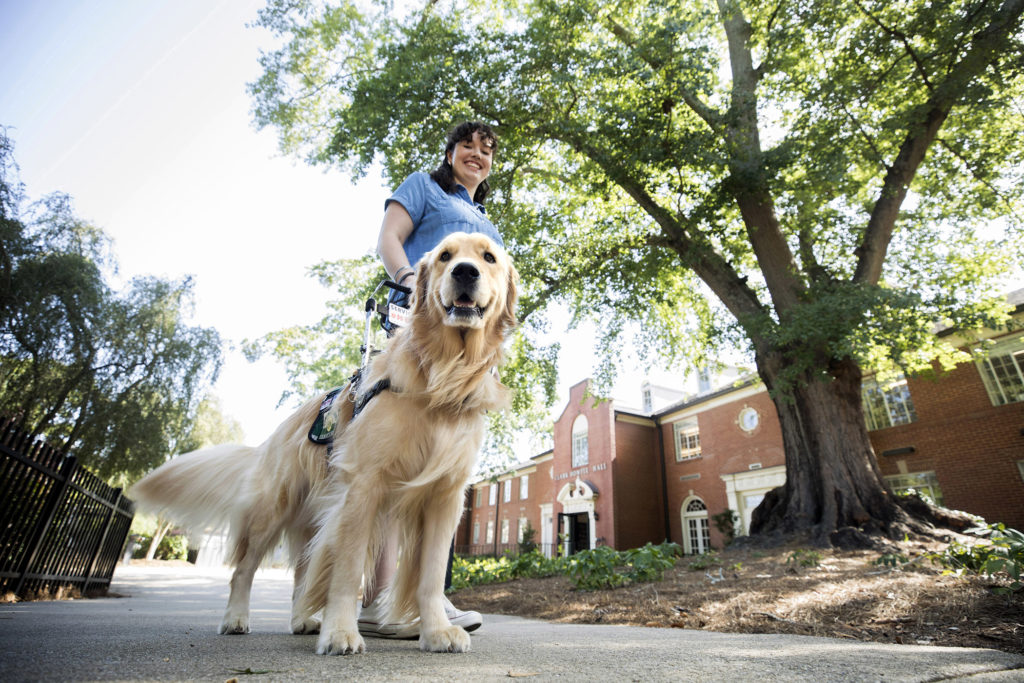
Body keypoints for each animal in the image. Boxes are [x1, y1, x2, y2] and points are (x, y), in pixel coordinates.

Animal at [132, 233, 516, 655]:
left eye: (489, 257)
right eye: (446, 255)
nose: (464, 271)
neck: (443, 377)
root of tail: (275, 433)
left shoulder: (443, 495)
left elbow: (430, 577)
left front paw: (437, 631)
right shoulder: (363, 485)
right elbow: (347, 571)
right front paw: (341, 632)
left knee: (302, 571)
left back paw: (302, 619)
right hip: (273, 510)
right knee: (244, 569)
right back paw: (236, 618)